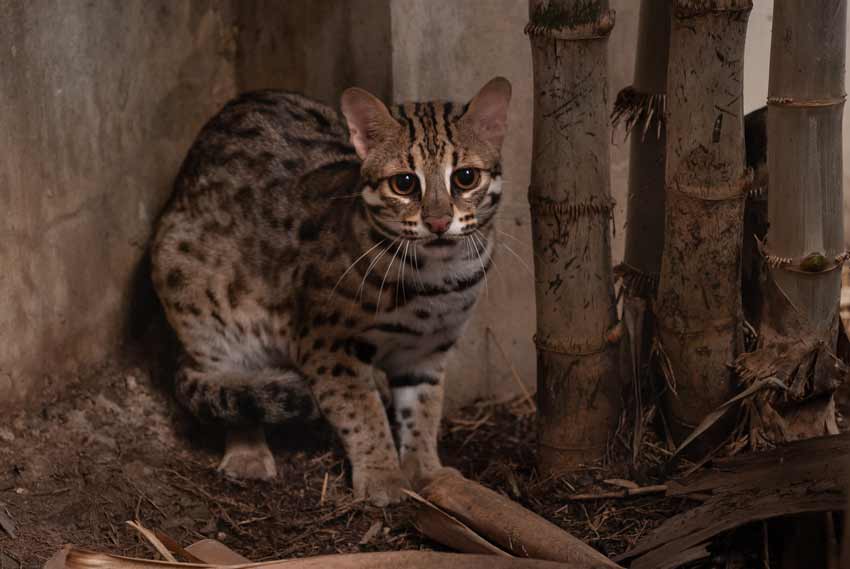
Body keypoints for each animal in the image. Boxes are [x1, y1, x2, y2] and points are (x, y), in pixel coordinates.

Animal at [152, 76, 510, 506]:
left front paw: (425, 470)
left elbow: (424, 410)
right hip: (195, 298)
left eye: (466, 177)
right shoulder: (327, 345)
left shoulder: (427, 349)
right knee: (233, 388)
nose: (439, 222)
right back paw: (248, 454)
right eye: (404, 183)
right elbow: (362, 411)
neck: (439, 280)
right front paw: (382, 475)